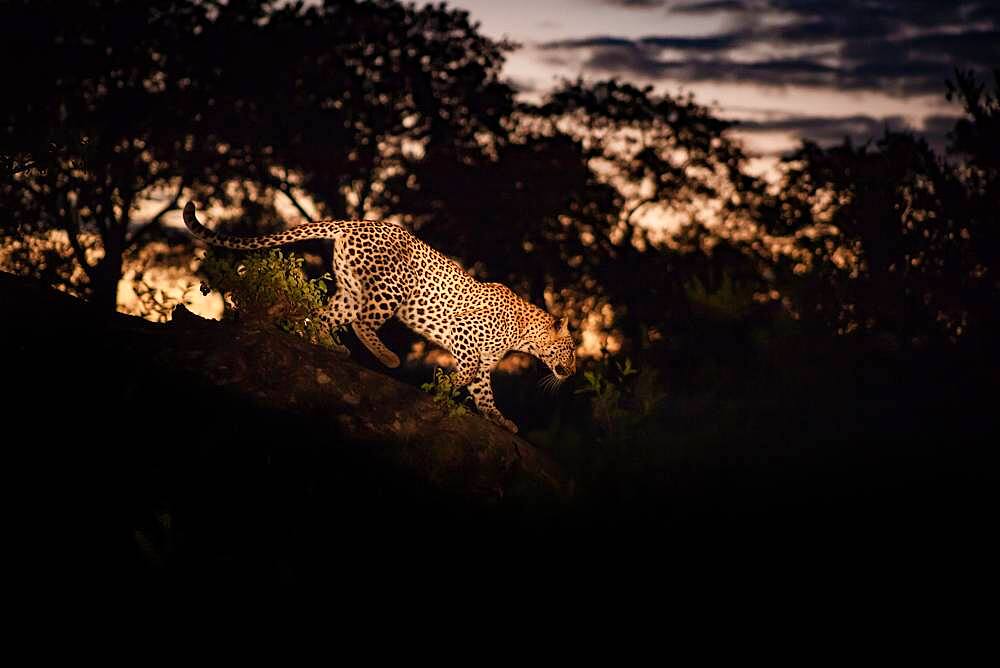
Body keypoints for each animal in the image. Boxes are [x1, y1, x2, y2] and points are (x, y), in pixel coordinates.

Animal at [183, 201, 576, 434]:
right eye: (571, 351)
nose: (571, 373)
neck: (525, 337)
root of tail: (355, 223)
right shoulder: (463, 334)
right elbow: (466, 373)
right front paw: (444, 386)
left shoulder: (484, 364)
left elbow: (485, 394)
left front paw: (502, 420)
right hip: (392, 288)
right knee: (362, 323)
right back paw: (387, 357)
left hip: (351, 289)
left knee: (324, 317)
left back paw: (333, 348)